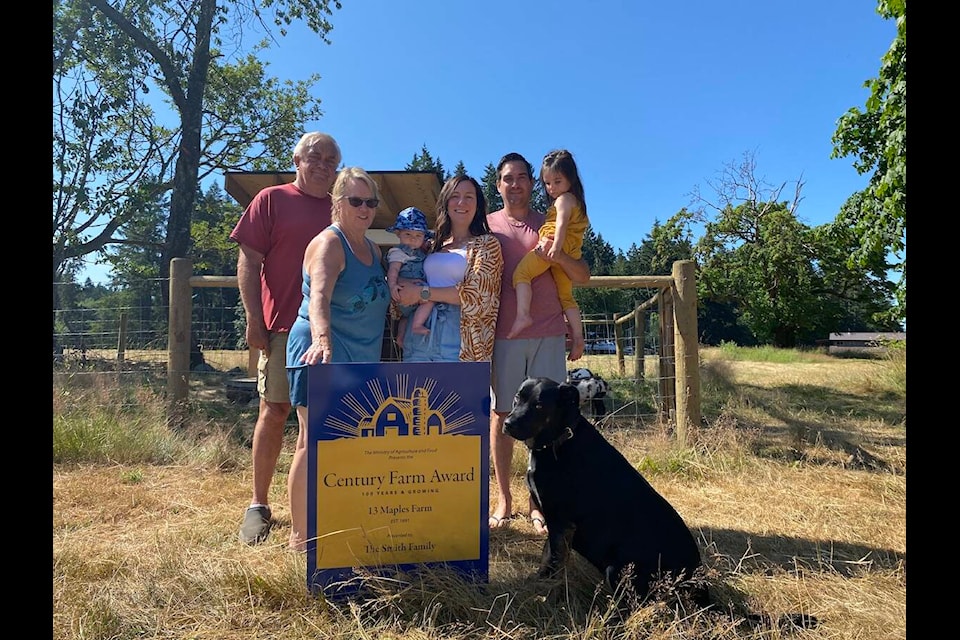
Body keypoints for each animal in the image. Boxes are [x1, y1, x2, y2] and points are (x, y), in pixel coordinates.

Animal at [502, 378, 704, 608]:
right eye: (518, 397)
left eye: (539, 405)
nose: (508, 423)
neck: (560, 439)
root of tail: (699, 585)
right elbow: (547, 558)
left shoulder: (561, 523)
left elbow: (556, 567)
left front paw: (549, 600)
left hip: (617, 569)